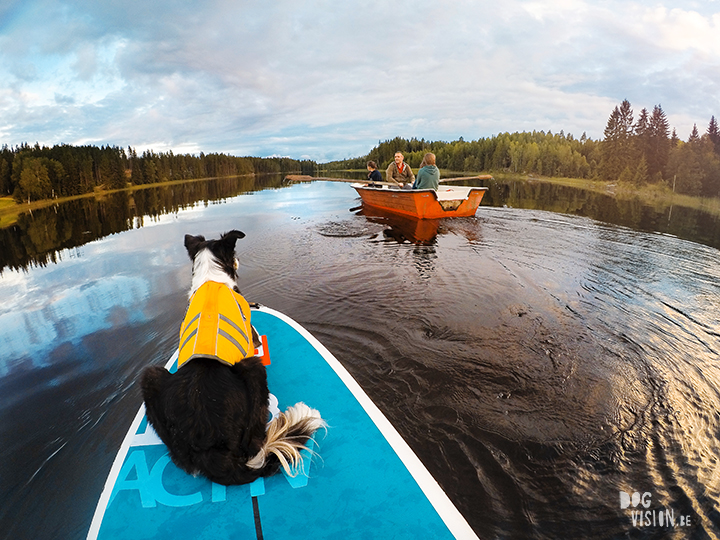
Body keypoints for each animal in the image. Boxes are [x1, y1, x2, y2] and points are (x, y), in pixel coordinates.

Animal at [141, 228, 326, 486]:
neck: (211, 278)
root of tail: (209, 449)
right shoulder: (253, 339)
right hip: (253, 369)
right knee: (254, 442)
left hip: (150, 375)